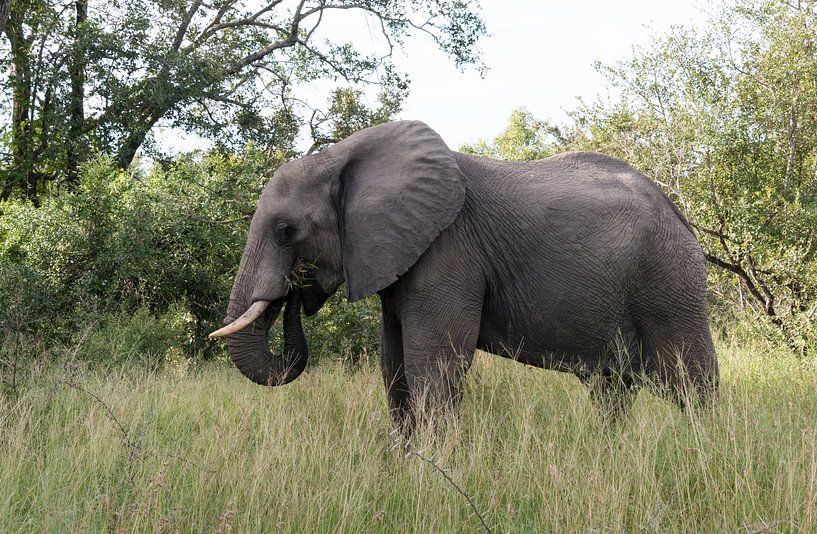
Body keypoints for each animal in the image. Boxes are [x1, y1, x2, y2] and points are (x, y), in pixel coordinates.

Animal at [210, 120, 718, 433]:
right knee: (610, 388)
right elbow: (393, 366)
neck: (342, 158)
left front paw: (433, 478)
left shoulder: (449, 251)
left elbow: (433, 365)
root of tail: (678, 213)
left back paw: (703, 449)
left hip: (669, 280)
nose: (298, 288)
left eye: (284, 230)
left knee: (690, 379)